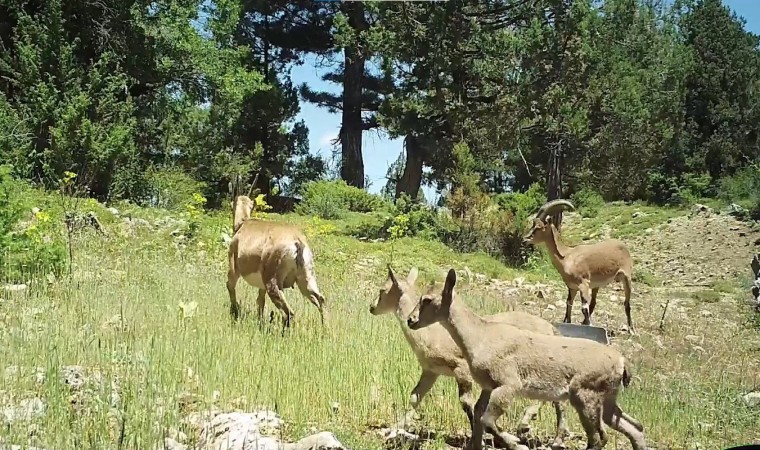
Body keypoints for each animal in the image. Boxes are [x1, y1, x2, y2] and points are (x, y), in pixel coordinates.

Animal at [372, 268, 568, 442]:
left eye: (383, 290)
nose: (371, 307)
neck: (431, 335)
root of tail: (551, 328)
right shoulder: (431, 370)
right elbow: (415, 397)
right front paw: (394, 429)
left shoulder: (461, 367)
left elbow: (466, 402)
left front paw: (479, 434)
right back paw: (558, 436)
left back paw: (528, 424)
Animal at [406, 268, 652, 450]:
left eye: (427, 300)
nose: (411, 320)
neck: (480, 337)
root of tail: (622, 363)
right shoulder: (488, 386)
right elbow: (477, 415)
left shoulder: (509, 384)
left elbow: (486, 420)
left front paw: (515, 442)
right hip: (608, 397)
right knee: (634, 427)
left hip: (585, 394)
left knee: (600, 437)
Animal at [524, 200, 636, 334]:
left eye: (539, 227)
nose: (525, 240)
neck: (567, 256)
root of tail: (624, 246)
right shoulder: (572, 287)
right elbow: (569, 303)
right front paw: (568, 322)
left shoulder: (583, 284)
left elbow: (584, 308)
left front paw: (589, 326)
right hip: (596, 285)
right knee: (594, 303)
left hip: (627, 277)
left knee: (627, 304)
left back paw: (631, 330)